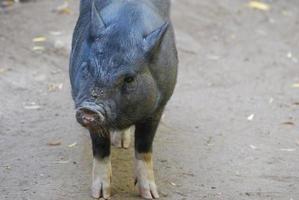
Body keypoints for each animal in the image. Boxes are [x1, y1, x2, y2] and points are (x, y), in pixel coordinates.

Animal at [70, 0, 178, 199]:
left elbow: (144, 147)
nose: (89, 108)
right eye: (87, 68)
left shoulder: (158, 108)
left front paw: (151, 195)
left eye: (129, 79)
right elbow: (100, 148)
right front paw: (100, 195)